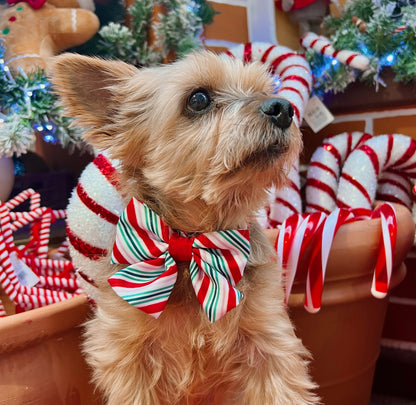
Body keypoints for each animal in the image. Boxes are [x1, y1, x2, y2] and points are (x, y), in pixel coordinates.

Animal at [52, 51, 318, 404]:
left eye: (265, 90)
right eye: (198, 99)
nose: (283, 108)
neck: (191, 242)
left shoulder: (269, 343)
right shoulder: (128, 357)